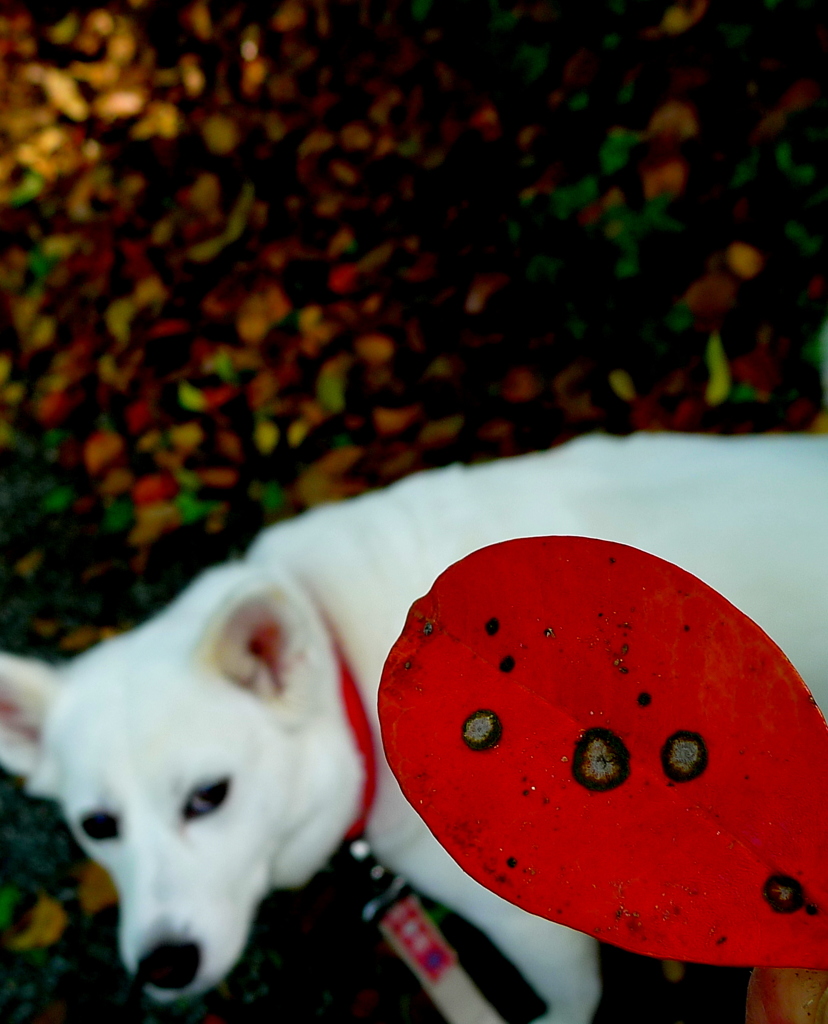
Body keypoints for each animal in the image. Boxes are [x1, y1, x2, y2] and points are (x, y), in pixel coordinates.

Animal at [1, 432, 826, 1024]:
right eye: (97, 826)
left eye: (210, 794)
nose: (163, 964)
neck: (339, 653)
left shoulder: (540, 937)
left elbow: (571, 1004)